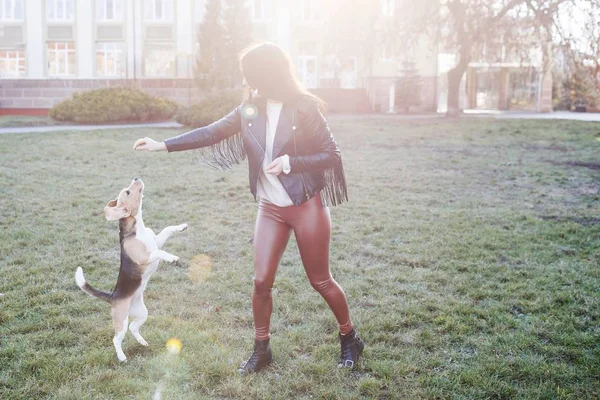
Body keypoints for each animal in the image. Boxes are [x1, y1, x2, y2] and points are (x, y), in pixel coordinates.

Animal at [75, 178, 188, 362]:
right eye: (127, 192)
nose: (136, 178)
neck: (138, 228)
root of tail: (113, 297)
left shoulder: (156, 242)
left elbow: (167, 230)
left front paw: (181, 226)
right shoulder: (145, 256)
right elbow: (159, 252)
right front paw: (171, 258)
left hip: (142, 313)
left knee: (134, 328)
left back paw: (142, 342)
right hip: (121, 321)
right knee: (117, 338)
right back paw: (121, 357)